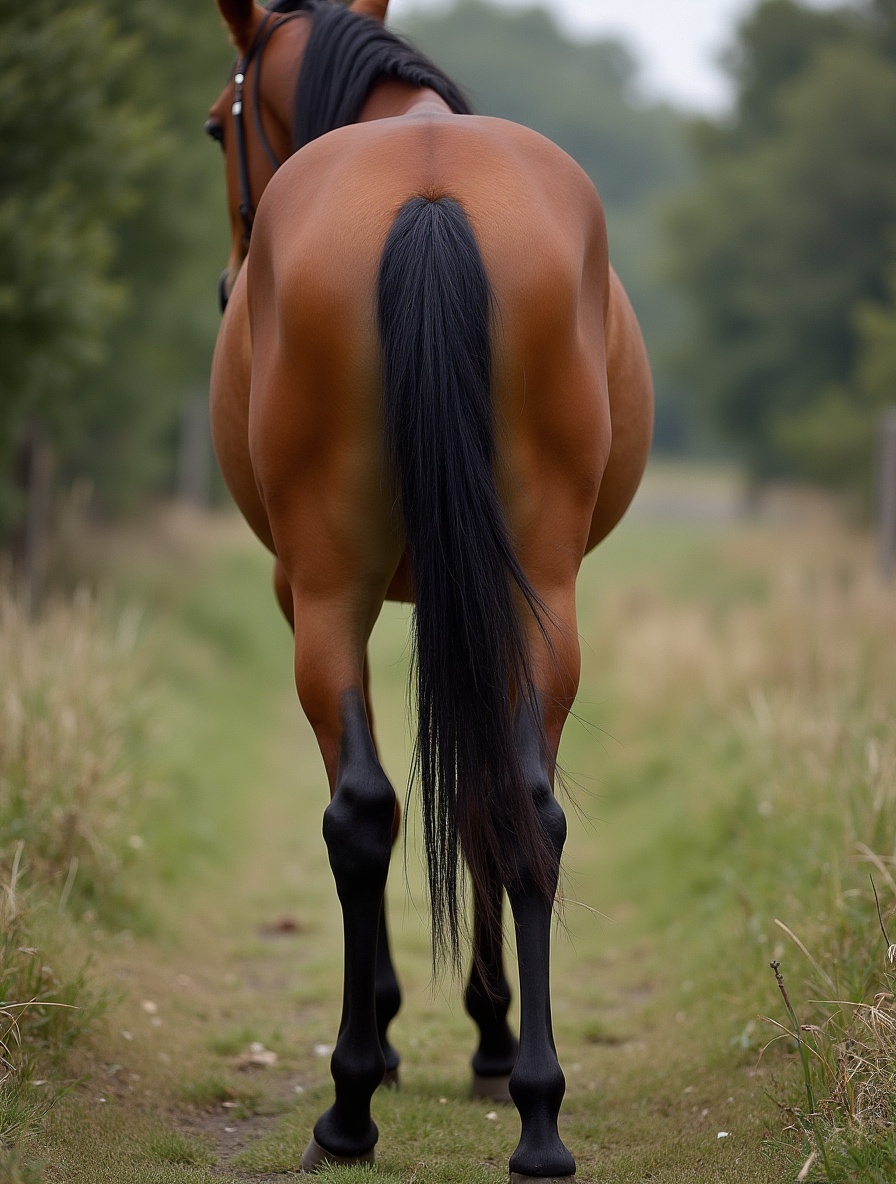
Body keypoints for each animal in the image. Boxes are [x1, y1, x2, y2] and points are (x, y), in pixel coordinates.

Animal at [205, 0, 653, 1177]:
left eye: (218, 126)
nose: (226, 282)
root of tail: (431, 197)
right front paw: (491, 1040)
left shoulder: (309, 590)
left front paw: (415, 1028)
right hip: (536, 585)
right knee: (519, 803)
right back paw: (539, 1114)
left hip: (325, 593)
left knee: (364, 812)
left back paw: (351, 1103)